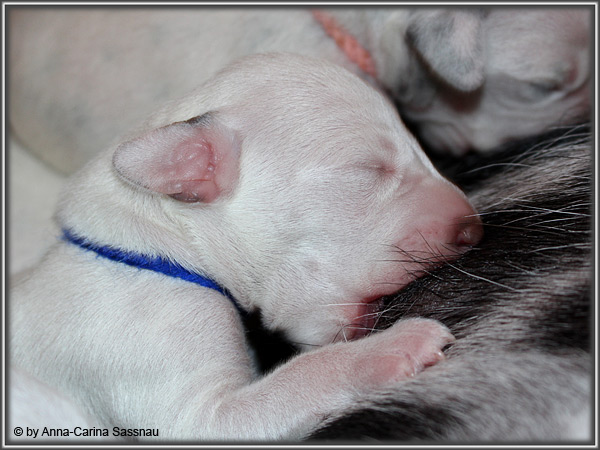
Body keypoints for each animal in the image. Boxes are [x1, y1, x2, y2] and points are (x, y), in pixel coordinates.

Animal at [8, 53, 484, 442]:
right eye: (369, 169)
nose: (474, 228)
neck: (153, 246)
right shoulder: (186, 397)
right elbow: (304, 373)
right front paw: (395, 344)